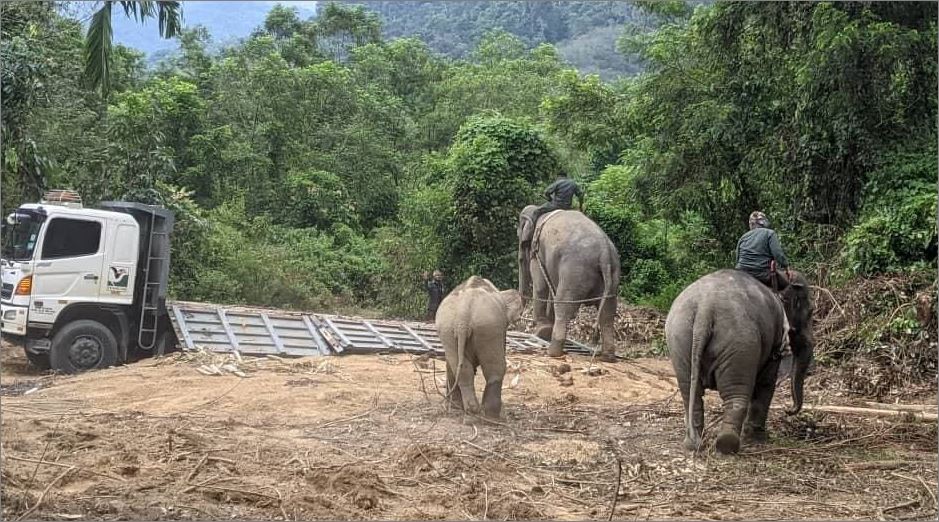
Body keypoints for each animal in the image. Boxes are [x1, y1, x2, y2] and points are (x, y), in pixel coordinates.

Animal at [436, 274, 524, 416]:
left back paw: (468, 410)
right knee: (495, 367)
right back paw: (492, 415)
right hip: (488, 328)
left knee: (460, 368)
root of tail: (463, 315)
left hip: (447, 330)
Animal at [516, 205, 620, 360]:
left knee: (564, 305)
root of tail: (605, 253)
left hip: (575, 271)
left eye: (521, 259)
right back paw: (608, 356)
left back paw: (553, 352)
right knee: (607, 313)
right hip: (612, 275)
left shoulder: (537, 251)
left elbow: (540, 285)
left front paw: (542, 332)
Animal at [660, 268, 816, 450]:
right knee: (736, 394)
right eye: (811, 311)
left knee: (689, 391)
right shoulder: (776, 337)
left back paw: (693, 443)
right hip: (740, 342)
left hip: (680, 338)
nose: (788, 410)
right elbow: (766, 382)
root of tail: (705, 308)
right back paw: (727, 444)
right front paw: (758, 438)